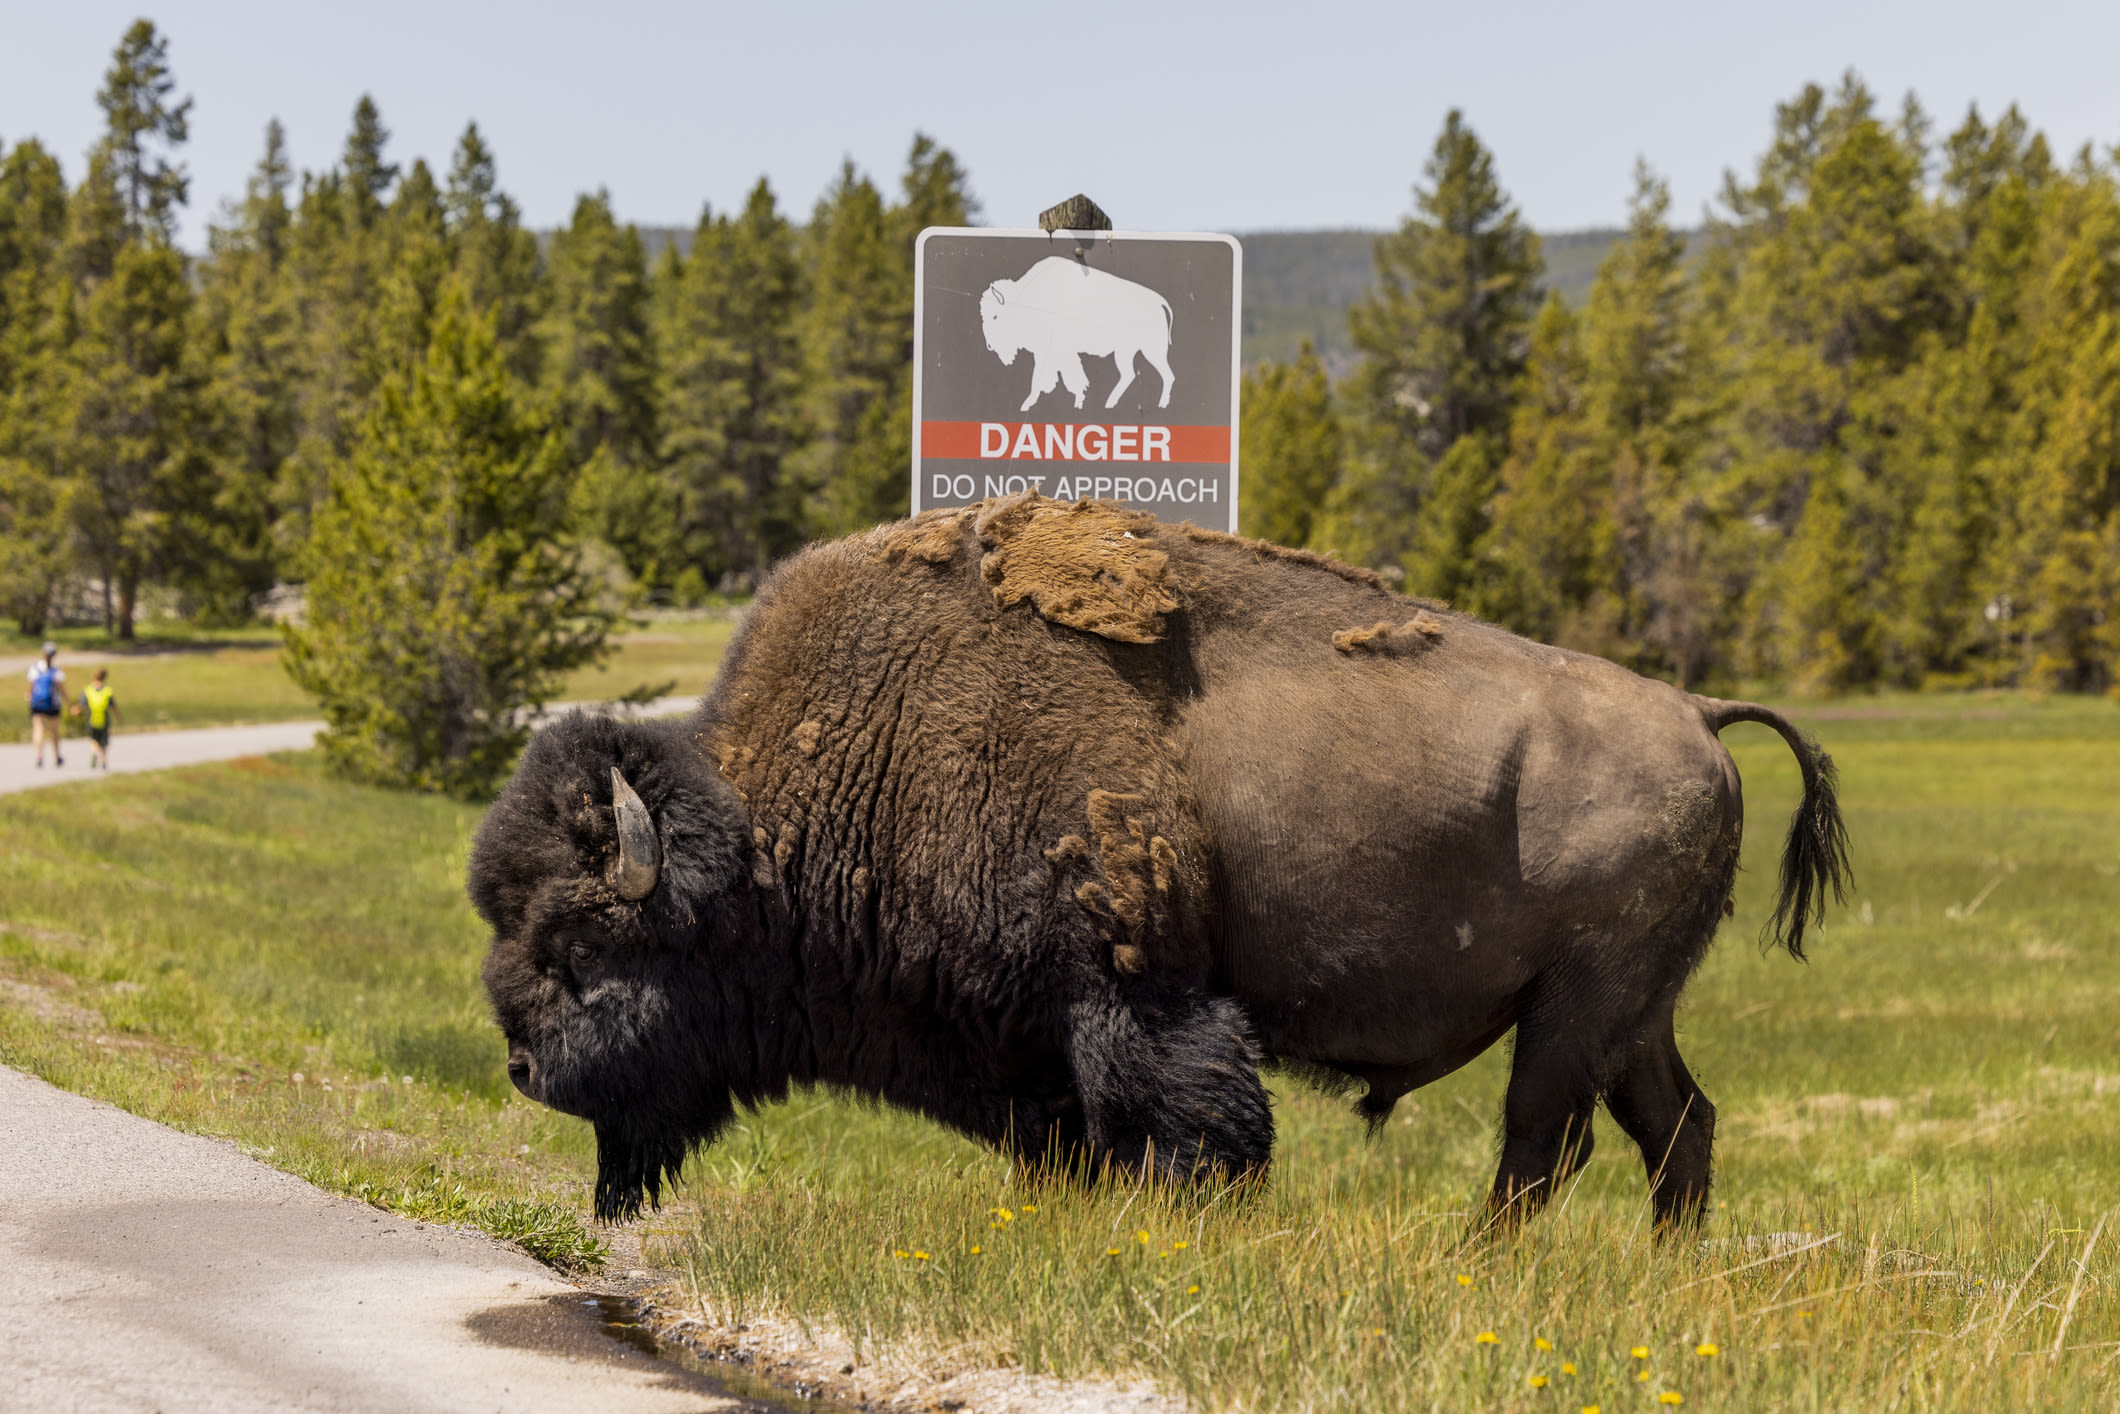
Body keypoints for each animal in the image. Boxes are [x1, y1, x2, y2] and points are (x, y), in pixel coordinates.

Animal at [472, 498, 1848, 1229]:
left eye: (583, 944)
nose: (525, 1068)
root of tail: (1694, 711)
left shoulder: (1134, 993)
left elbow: (1188, 1125)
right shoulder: (1027, 1042)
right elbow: (1075, 1137)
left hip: (1575, 1009)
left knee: (1539, 1145)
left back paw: (1484, 1266)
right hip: (1629, 1013)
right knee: (1675, 1126)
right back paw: (1667, 1274)